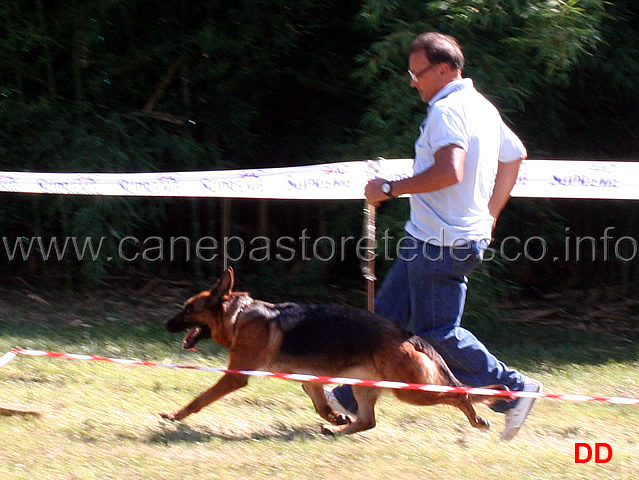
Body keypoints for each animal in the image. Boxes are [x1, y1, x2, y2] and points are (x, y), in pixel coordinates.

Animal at [161, 266, 504, 436]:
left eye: (188, 310)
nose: (165, 323)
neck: (239, 315)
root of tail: (408, 335)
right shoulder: (308, 379)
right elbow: (319, 402)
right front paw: (335, 416)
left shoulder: (234, 376)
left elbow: (200, 398)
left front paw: (176, 415)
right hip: (368, 385)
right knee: (368, 421)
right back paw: (337, 429)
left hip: (410, 390)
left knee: (459, 394)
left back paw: (477, 420)